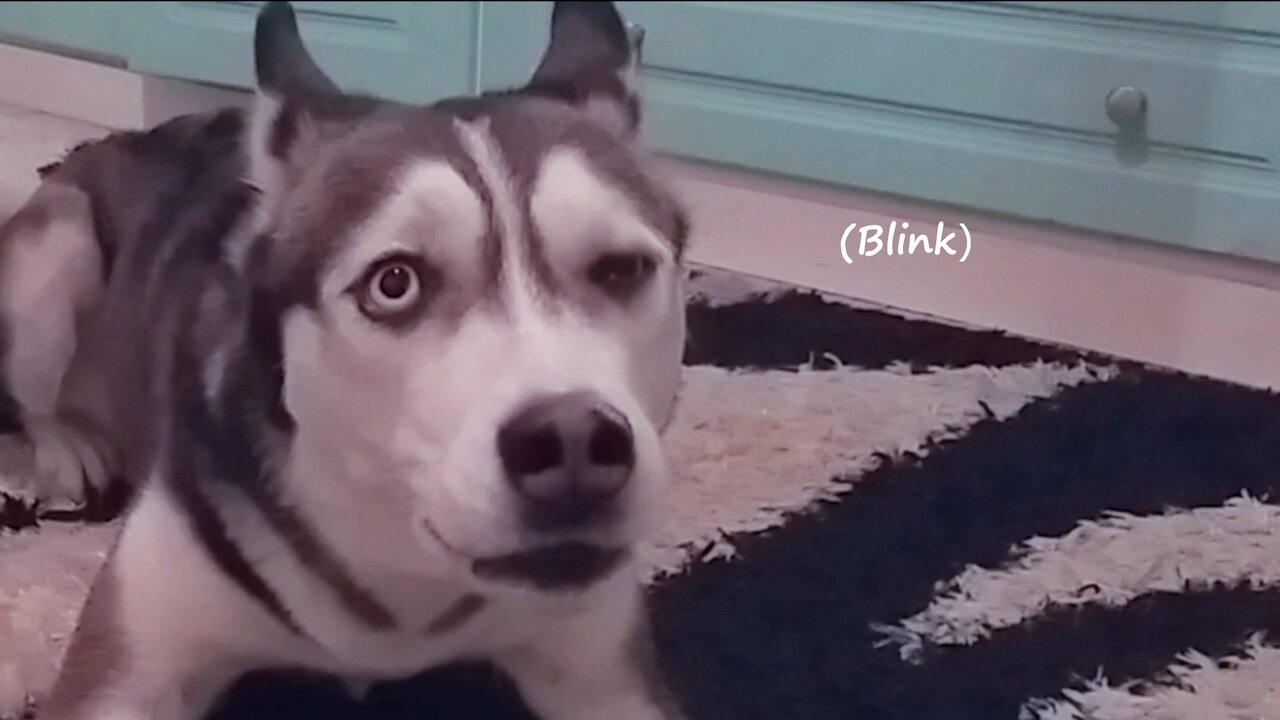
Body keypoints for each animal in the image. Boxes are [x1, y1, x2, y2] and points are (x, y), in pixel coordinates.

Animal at [0, 2, 696, 712]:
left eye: (621, 269)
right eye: (395, 283)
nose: (573, 439)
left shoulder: (605, 674)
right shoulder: (126, 666)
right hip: (55, 249)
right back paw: (67, 449)